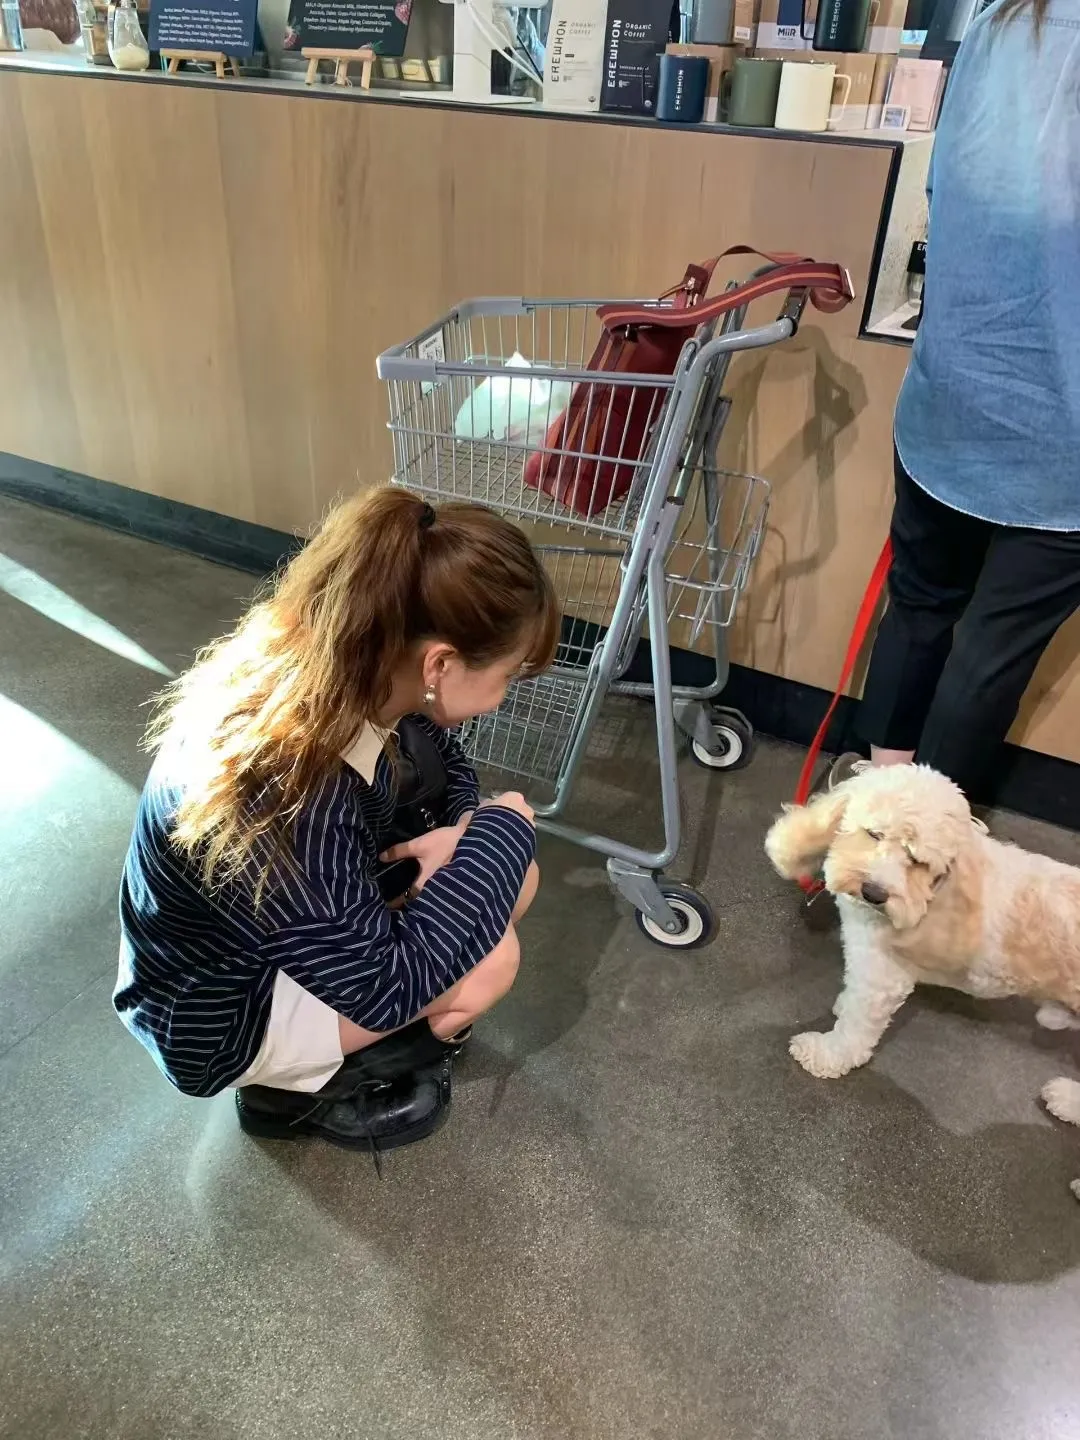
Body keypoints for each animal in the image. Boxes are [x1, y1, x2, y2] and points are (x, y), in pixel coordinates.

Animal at [765, 764, 1080, 1200]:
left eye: (918, 860)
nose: (874, 892)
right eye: (874, 834)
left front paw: (825, 1054)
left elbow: (854, 1033)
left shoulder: (883, 976)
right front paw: (841, 1005)